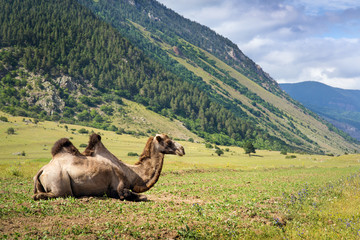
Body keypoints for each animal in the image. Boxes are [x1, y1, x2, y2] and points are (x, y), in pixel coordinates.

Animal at [32, 133, 184, 201]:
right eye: (168, 141)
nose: (182, 149)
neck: (132, 173)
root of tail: (42, 170)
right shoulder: (119, 187)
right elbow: (139, 196)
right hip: (59, 182)